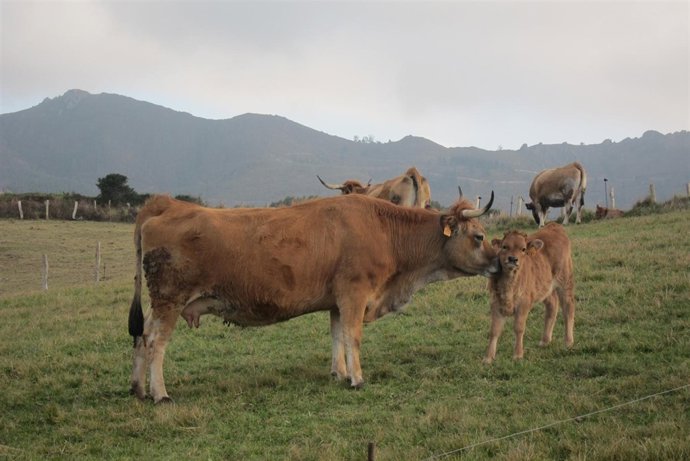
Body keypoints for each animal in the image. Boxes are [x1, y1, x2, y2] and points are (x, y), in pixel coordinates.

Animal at [129, 192, 498, 403]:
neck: (385, 231)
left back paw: (139, 389)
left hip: (160, 304)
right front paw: (357, 379)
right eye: (480, 237)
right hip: (170, 300)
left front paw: (339, 373)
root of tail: (164, 204)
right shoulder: (354, 293)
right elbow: (353, 336)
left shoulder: (337, 301)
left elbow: (337, 336)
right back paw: (160, 393)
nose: (502, 261)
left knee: (141, 337)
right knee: (155, 342)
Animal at [483, 223, 575, 364]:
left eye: (523, 249)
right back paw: (545, 340)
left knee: (568, 308)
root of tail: (554, 225)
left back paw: (568, 342)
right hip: (545, 286)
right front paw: (488, 358)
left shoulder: (524, 303)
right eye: (505, 246)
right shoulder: (495, 303)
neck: (509, 285)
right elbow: (494, 330)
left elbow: (519, 328)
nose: (513, 259)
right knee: (552, 305)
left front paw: (517, 355)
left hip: (565, 280)